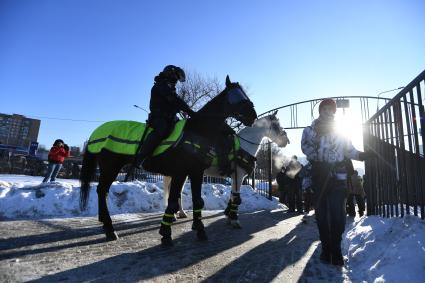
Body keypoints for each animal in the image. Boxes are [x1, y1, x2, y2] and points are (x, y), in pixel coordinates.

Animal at [80, 76, 256, 246]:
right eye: (235, 96)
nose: (252, 115)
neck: (198, 131)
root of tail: (97, 132)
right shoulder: (180, 173)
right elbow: (172, 202)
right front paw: (166, 234)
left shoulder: (196, 173)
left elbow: (197, 201)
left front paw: (200, 231)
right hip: (111, 167)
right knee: (102, 191)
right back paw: (110, 229)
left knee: (102, 191)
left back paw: (106, 225)